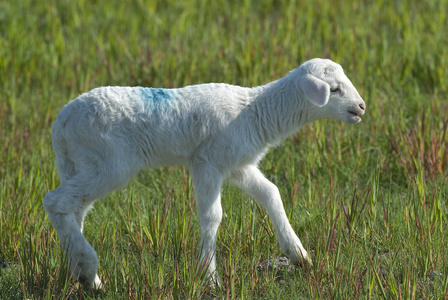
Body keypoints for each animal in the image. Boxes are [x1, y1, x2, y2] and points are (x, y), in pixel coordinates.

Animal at [43, 57, 364, 288]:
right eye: (334, 89)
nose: (361, 107)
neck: (254, 110)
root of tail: (60, 123)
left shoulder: (236, 163)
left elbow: (271, 193)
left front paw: (299, 255)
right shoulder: (206, 161)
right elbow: (213, 216)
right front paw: (209, 278)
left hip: (81, 162)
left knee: (73, 210)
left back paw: (84, 275)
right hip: (110, 162)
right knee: (55, 202)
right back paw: (89, 266)